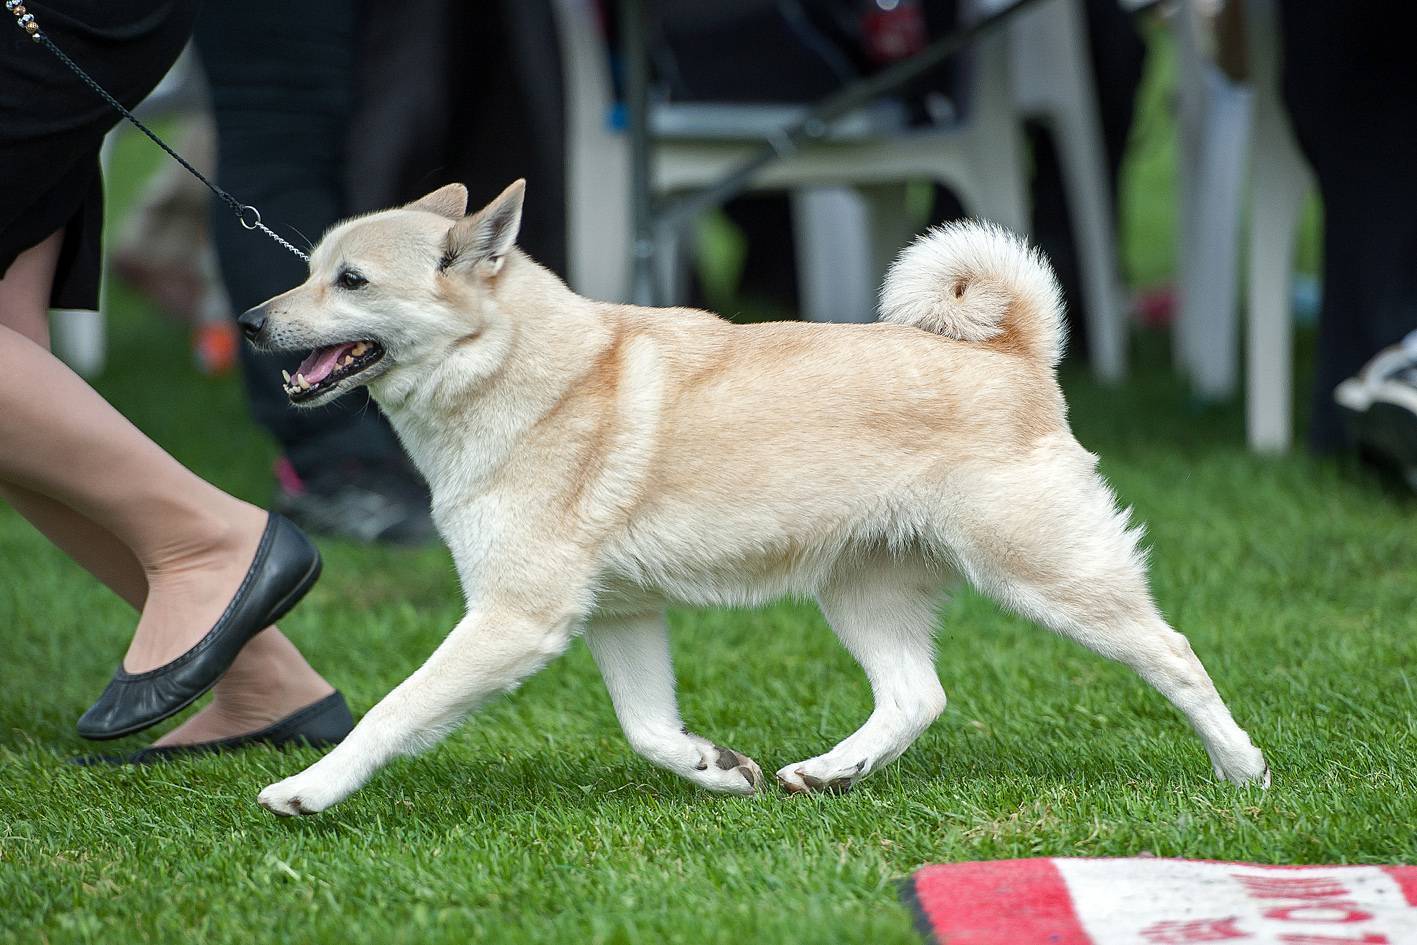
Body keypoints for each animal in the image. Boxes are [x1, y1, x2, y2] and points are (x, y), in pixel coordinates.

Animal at [238, 181, 1269, 816]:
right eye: (308, 266)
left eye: (350, 280)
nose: (248, 320)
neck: (516, 368)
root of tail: (1014, 350)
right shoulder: (618, 615)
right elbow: (648, 728)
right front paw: (714, 768)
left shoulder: (513, 618)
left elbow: (395, 709)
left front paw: (311, 788)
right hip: (861, 591)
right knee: (917, 695)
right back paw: (830, 769)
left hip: (1046, 573)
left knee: (1173, 654)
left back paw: (1241, 768)